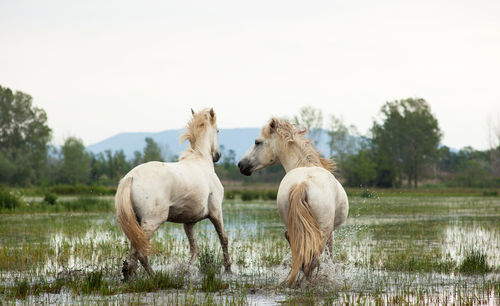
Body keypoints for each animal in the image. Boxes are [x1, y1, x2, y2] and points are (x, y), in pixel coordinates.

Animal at [116, 108, 232, 280]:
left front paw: (187, 271)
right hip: (151, 222)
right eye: (218, 130)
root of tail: (131, 177)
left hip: (136, 222)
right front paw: (228, 269)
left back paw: (130, 276)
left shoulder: (189, 222)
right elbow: (223, 238)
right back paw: (154, 276)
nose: (217, 155)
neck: (201, 161)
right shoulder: (216, 212)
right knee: (141, 252)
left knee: (134, 252)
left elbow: (195, 248)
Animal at [238, 117, 348, 286]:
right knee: (313, 258)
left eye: (257, 142)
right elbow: (330, 255)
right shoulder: (330, 233)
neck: (306, 164)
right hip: (322, 231)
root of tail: (301, 184)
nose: (241, 165)